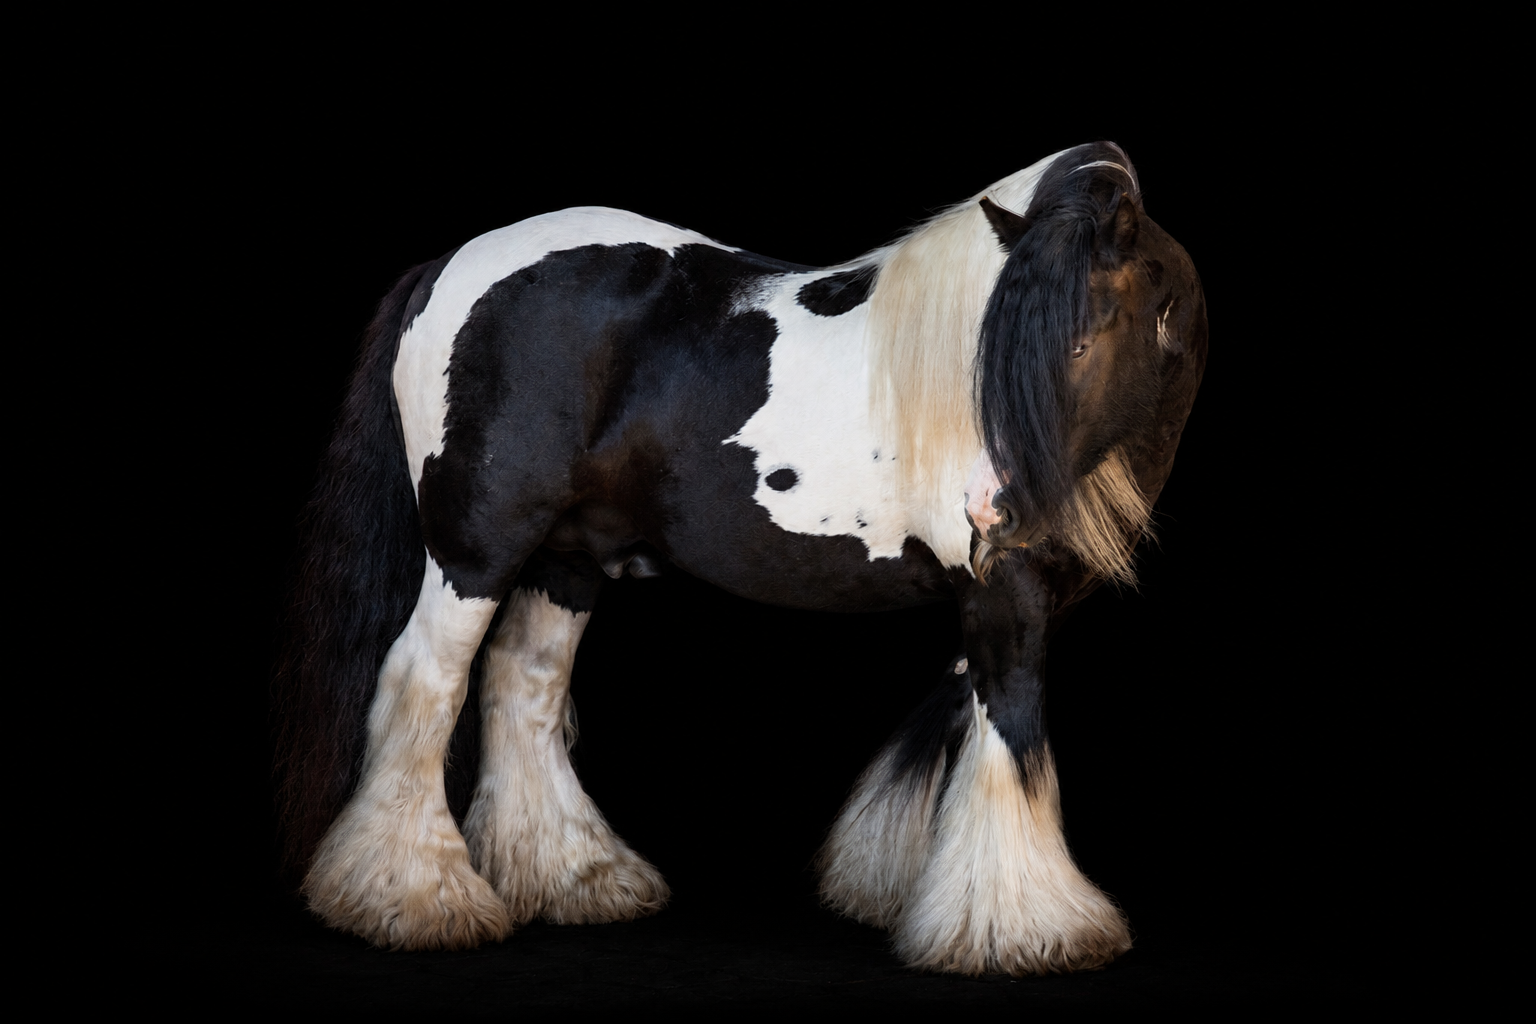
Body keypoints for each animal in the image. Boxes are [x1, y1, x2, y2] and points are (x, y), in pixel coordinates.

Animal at [271, 141, 1208, 976]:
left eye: (1083, 341)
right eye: (1009, 348)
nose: (988, 509)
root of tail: (447, 265)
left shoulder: (1006, 595)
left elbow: (958, 714)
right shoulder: (1001, 591)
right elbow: (1010, 735)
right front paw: (1025, 930)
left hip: (565, 562)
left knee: (521, 685)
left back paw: (575, 879)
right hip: (476, 552)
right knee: (424, 682)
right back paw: (413, 899)